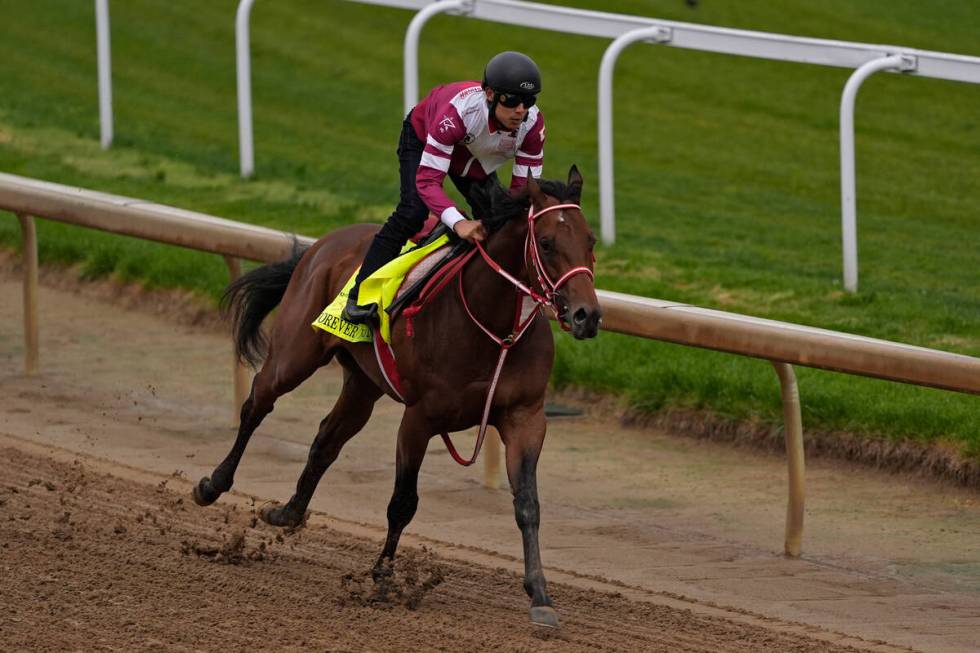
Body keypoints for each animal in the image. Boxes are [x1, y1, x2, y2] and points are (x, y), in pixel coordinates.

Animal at [190, 166, 600, 624]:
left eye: (590, 240)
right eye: (546, 243)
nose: (587, 315)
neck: (491, 324)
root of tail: (325, 243)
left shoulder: (525, 417)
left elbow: (528, 505)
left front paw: (540, 595)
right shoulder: (419, 419)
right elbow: (403, 501)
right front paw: (382, 578)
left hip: (363, 385)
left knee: (326, 439)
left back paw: (288, 511)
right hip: (294, 356)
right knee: (257, 405)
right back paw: (213, 484)